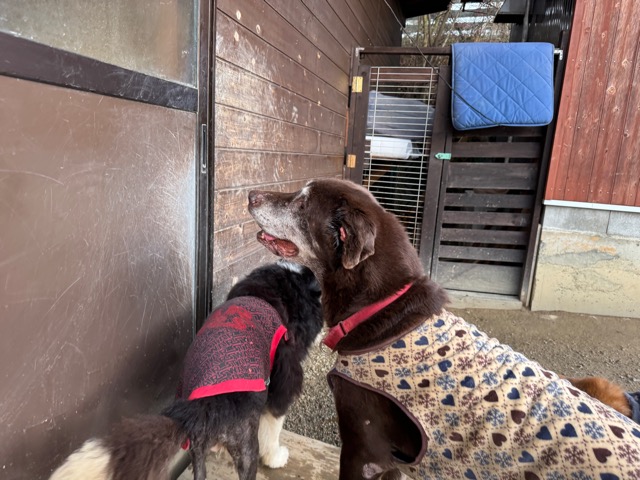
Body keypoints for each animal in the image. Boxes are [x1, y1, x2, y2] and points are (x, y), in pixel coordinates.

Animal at [49, 260, 322, 480]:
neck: (273, 291)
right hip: (245, 449)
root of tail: (201, 409)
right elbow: (274, 425)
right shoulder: (283, 384)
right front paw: (276, 457)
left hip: (198, 453)